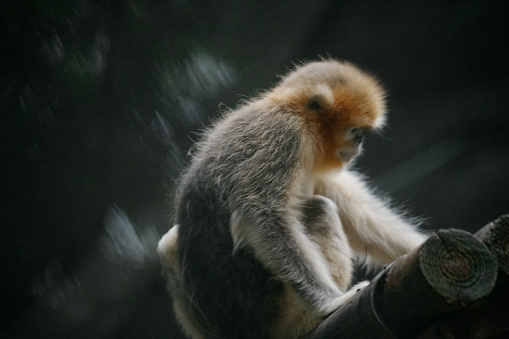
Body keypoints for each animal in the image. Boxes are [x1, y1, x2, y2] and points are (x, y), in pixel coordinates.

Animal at [157, 59, 426, 338]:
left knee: (166, 245)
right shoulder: (285, 135)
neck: (291, 109)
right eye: (355, 131)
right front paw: (329, 303)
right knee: (320, 210)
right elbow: (260, 215)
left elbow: (357, 214)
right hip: (267, 310)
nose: (360, 143)